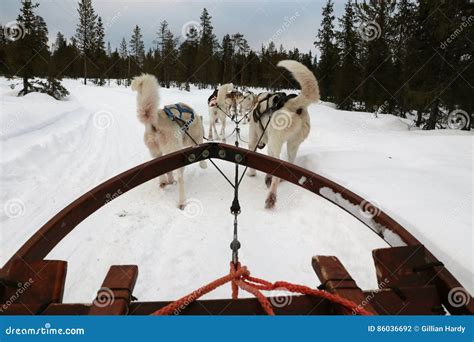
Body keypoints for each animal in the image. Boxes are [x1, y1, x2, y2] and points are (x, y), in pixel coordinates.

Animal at [133, 73, 207, 210]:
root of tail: (157, 121)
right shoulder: (196, 141)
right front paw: (203, 164)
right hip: (176, 154)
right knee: (180, 178)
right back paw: (181, 201)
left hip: (158, 153)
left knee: (163, 171)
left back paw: (165, 181)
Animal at [246, 59, 320, 208]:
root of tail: (293, 105)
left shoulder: (253, 140)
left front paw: (251, 173)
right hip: (292, 145)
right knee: (288, 165)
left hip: (274, 144)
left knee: (277, 173)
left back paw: (271, 195)